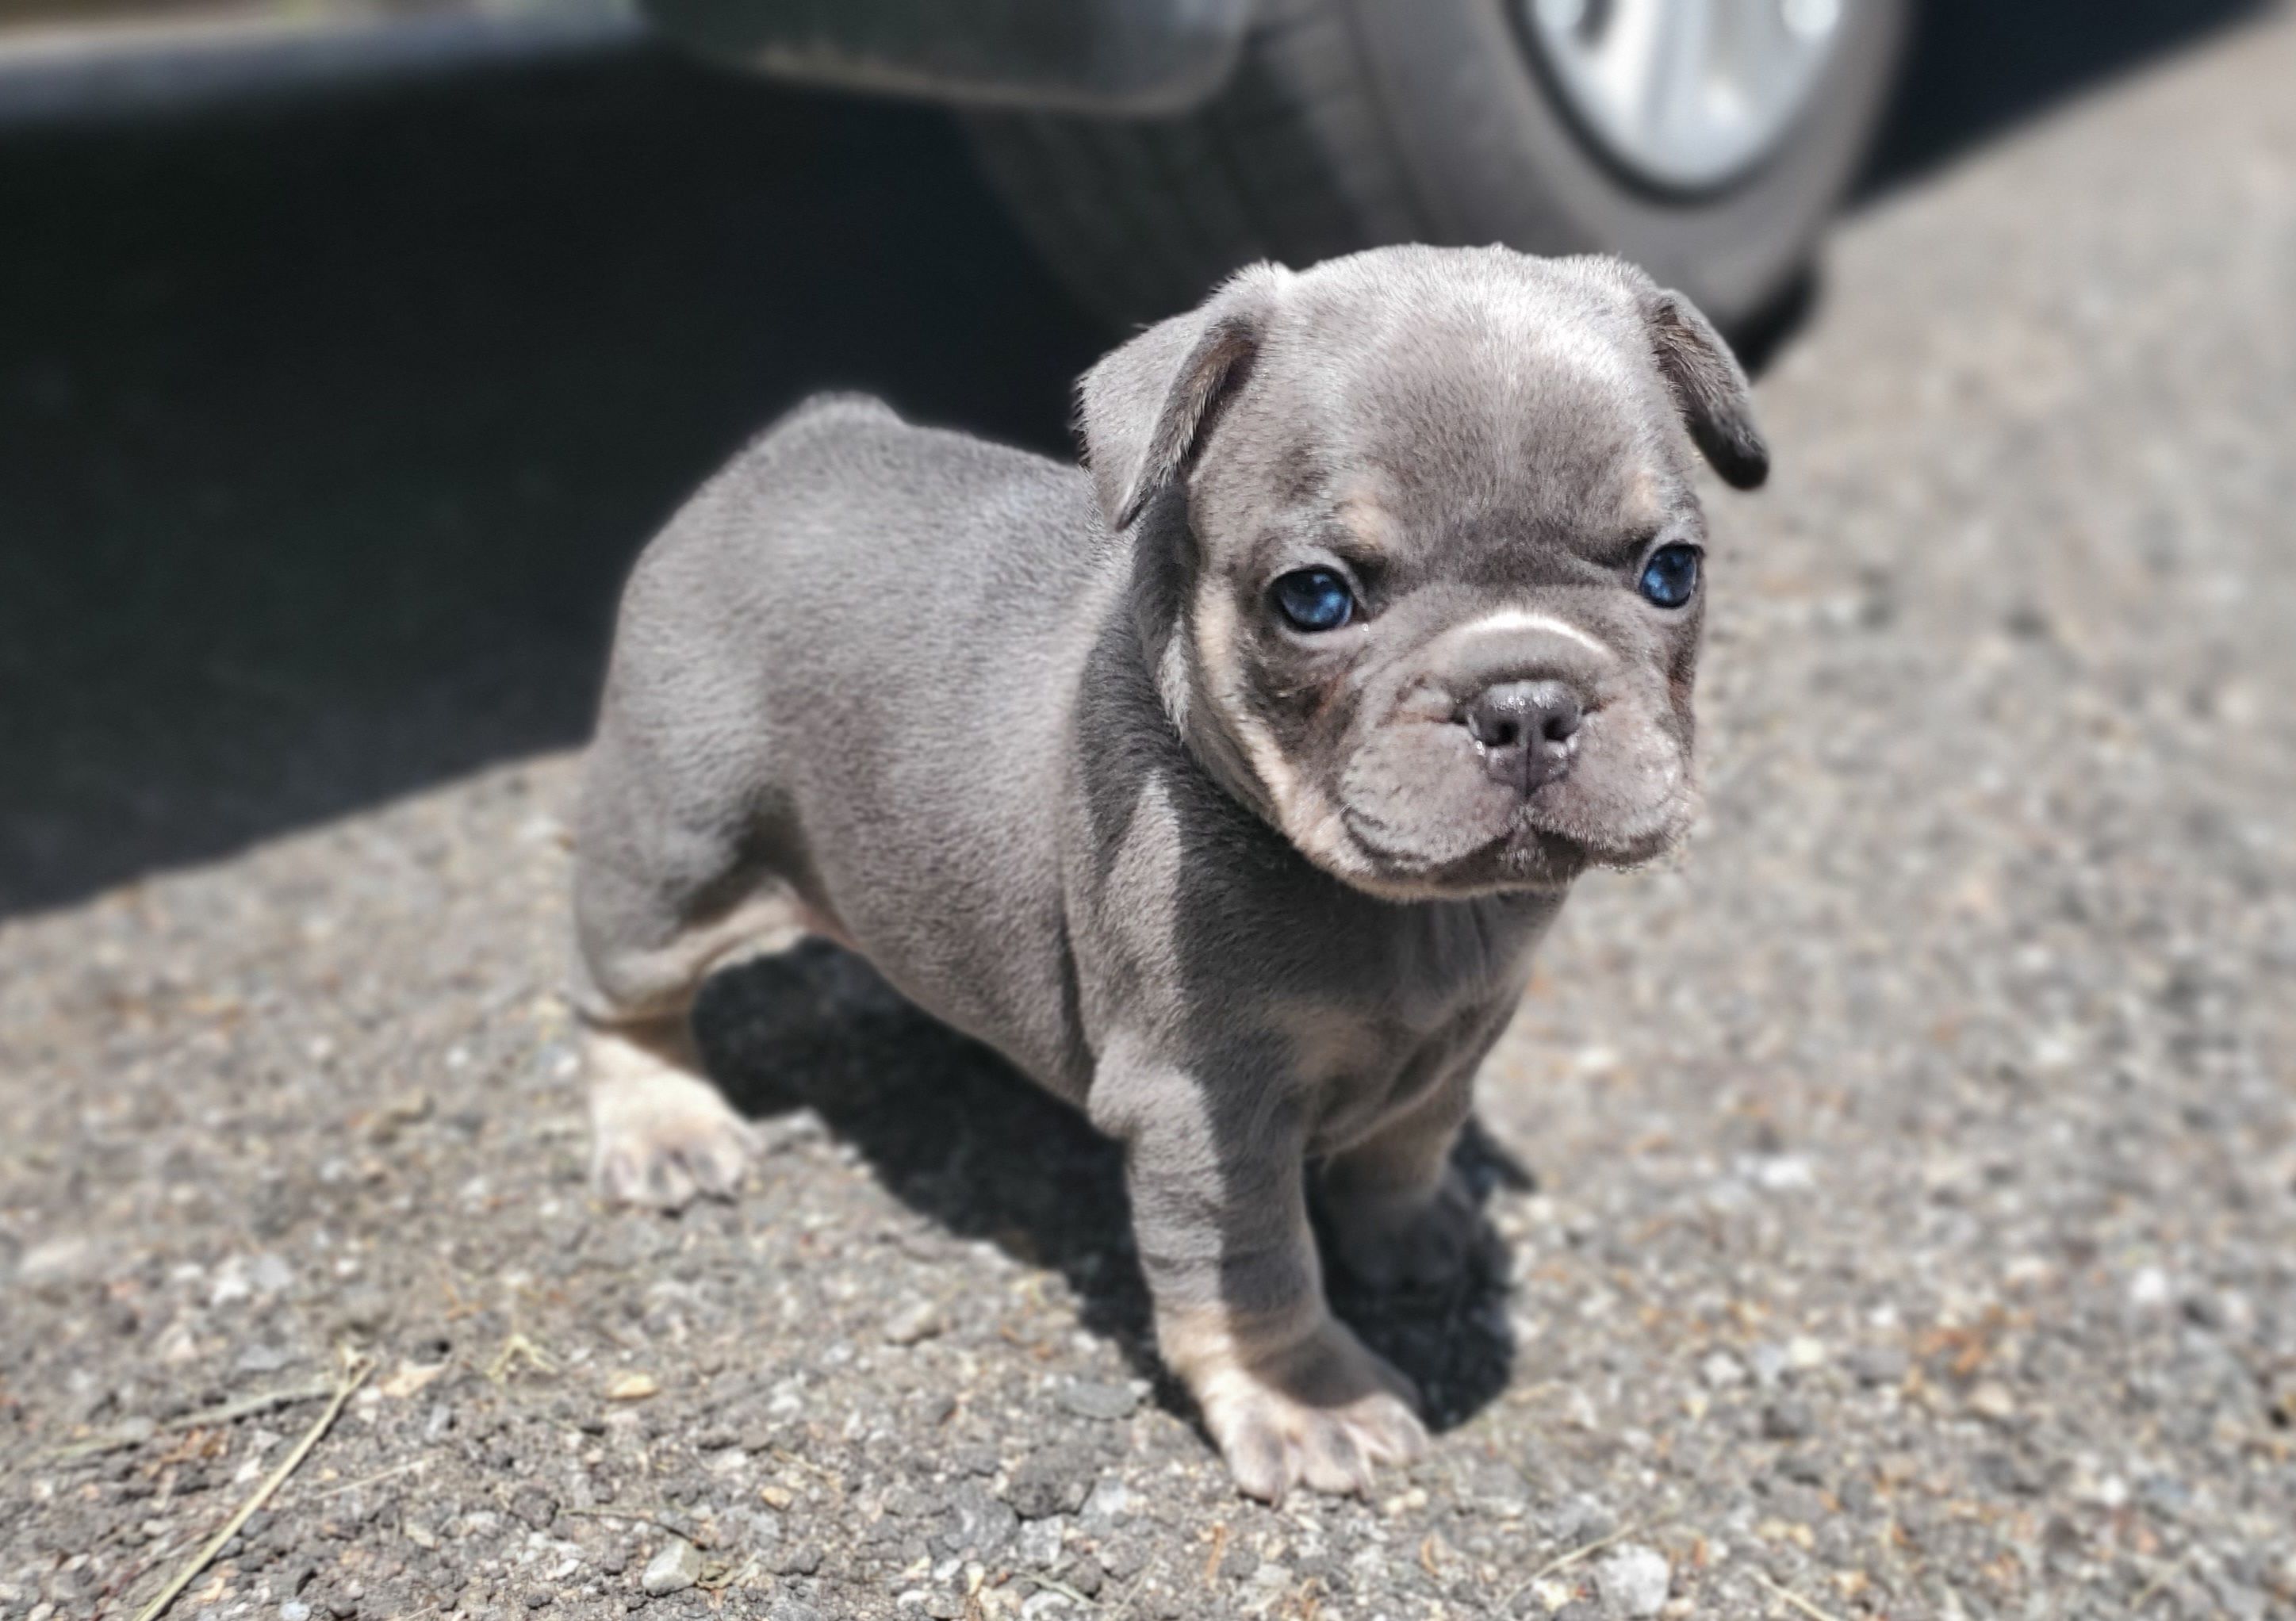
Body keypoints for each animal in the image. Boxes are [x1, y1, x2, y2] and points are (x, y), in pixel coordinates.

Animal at [565, 243, 1763, 1506]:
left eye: (1672, 574)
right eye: (1314, 598)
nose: (1526, 699)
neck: (1407, 916)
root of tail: (795, 440)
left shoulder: (1462, 1033)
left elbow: (1411, 1139)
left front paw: (1414, 1232)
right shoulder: (1205, 1102)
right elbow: (1256, 1267)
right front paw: (1304, 1399)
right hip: (676, 845)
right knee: (620, 993)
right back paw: (661, 1126)